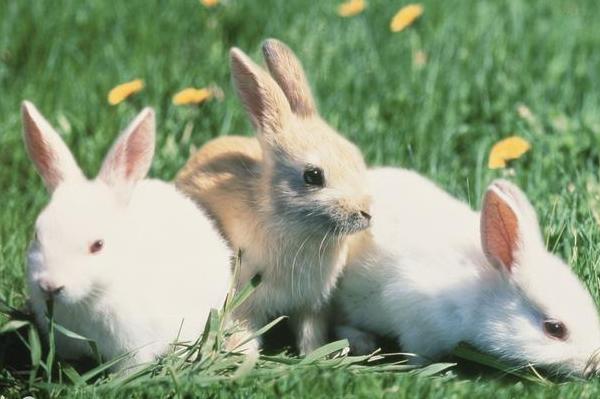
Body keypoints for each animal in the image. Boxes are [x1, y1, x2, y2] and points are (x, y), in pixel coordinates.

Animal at [176, 39, 370, 354]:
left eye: (355, 156)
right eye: (313, 176)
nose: (366, 213)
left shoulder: (311, 305)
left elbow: (311, 332)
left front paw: (314, 355)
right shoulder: (245, 304)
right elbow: (244, 333)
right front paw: (245, 357)